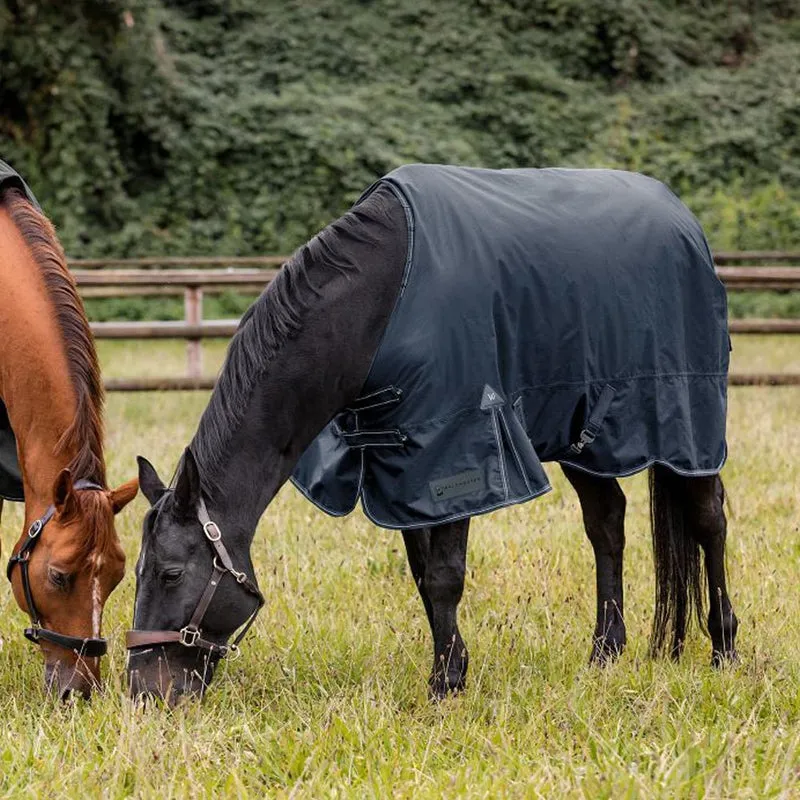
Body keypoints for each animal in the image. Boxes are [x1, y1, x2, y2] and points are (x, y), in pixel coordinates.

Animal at [126, 165, 738, 704]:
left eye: (171, 573)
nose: (144, 693)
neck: (378, 301)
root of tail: (684, 220)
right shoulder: (401, 465)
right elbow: (424, 578)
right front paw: (453, 669)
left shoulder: (456, 449)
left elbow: (445, 576)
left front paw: (444, 686)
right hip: (585, 437)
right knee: (606, 525)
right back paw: (605, 653)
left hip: (687, 423)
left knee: (709, 519)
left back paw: (724, 648)